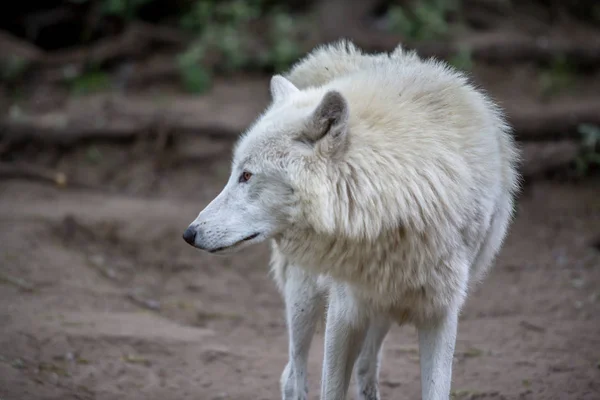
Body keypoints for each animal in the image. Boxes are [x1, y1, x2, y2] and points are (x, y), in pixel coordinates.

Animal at [183, 40, 520, 400]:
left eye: (246, 175)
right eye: (236, 173)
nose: (189, 233)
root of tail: (337, 54)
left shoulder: (440, 313)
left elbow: (435, 388)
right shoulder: (345, 311)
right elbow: (330, 387)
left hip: (379, 312)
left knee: (365, 368)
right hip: (305, 298)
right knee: (293, 375)